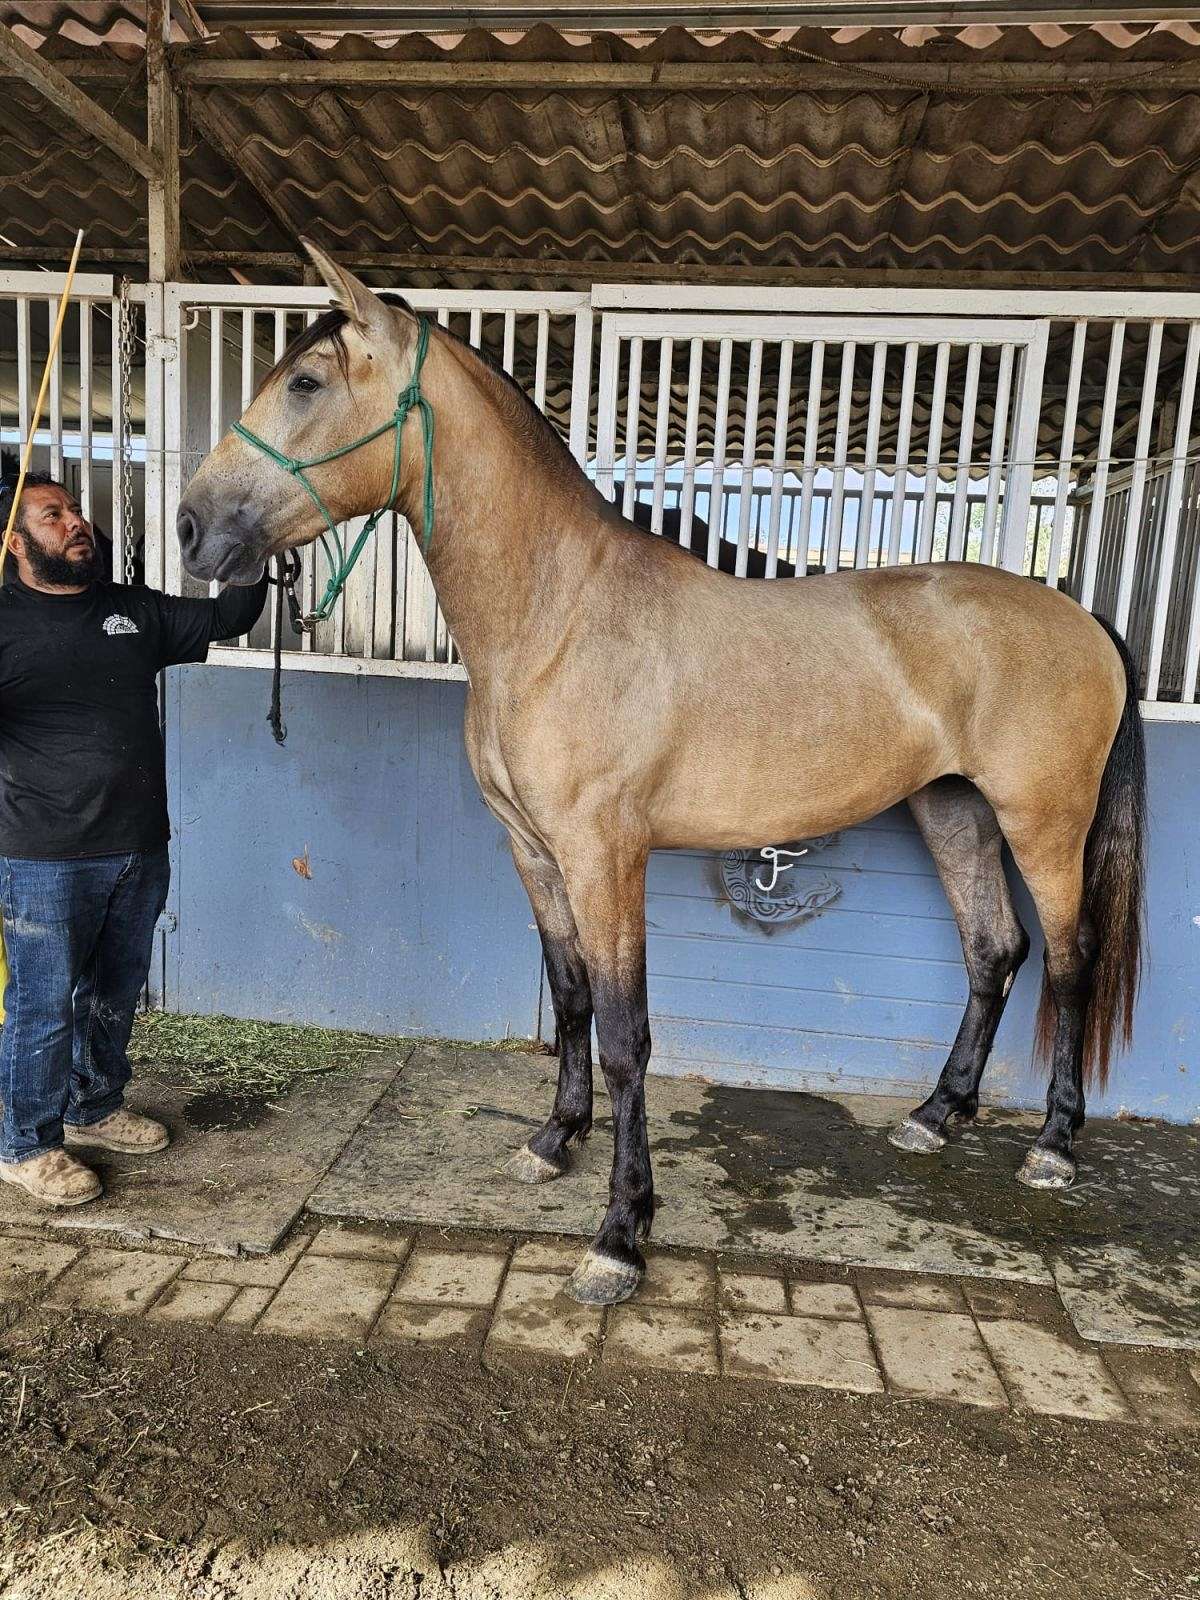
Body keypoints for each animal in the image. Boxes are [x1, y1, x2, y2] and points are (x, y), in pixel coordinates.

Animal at [176, 244, 1146, 1307]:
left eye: (305, 382)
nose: (190, 528)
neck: (558, 615)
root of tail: (1083, 618)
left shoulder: (607, 858)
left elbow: (625, 1033)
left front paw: (620, 1235)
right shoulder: (535, 851)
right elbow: (569, 1000)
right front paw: (553, 1141)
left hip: (1042, 823)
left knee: (1070, 960)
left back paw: (1052, 1145)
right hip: (953, 811)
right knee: (992, 951)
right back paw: (937, 1115)